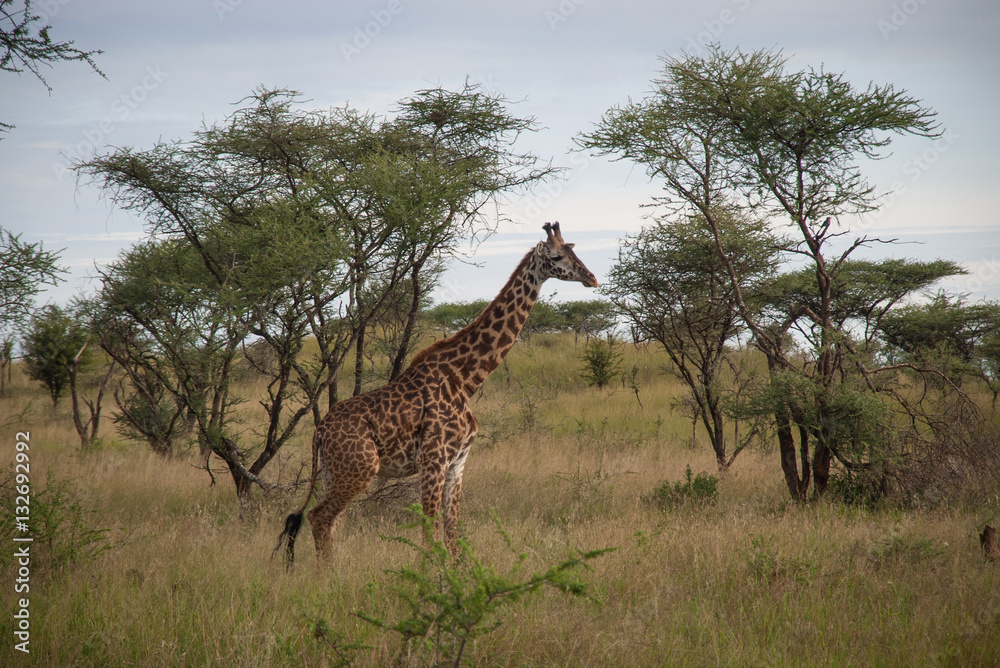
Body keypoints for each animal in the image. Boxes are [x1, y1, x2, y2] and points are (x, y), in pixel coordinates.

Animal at [275, 222, 598, 562]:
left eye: (574, 251)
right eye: (557, 256)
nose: (592, 278)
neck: (465, 380)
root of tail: (319, 431)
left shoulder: (458, 463)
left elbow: (453, 537)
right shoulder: (434, 460)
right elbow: (431, 537)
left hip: (333, 472)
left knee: (329, 523)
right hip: (360, 469)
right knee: (319, 517)